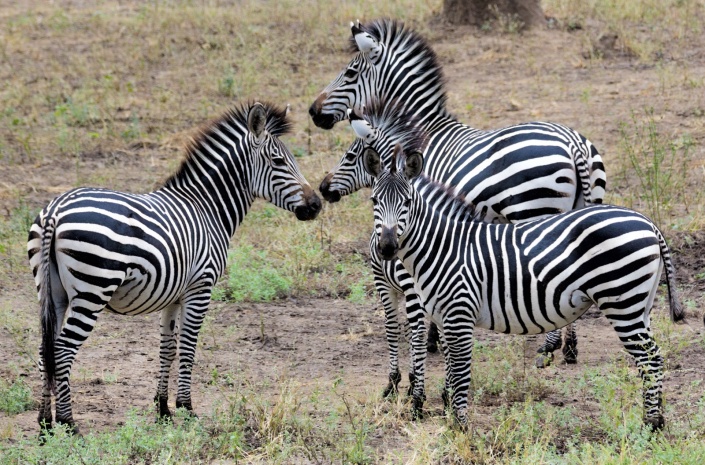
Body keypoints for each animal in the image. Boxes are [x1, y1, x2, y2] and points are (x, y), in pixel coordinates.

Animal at [27, 101, 321, 435]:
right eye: (279, 161)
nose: (317, 205)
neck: (207, 209)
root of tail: (55, 211)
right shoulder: (200, 288)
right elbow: (188, 347)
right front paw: (186, 408)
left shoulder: (173, 294)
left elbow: (167, 347)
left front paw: (163, 409)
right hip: (93, 289)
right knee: (63, 350)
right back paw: (68, 423)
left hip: (52, 291)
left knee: (46, 350)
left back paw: (44, 424)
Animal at [310, 19, 606, 378]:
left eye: (350, 72)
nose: (313, 112)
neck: (421, 134)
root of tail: (574, 144)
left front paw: (432, 341)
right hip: (583, 210)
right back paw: (569, 348)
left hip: (536, 211)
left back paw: (548, 347)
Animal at [362, 142, 683, 430]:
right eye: (374, 202)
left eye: (407, 203)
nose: (387, 248)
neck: (441, 247)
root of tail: (648, 223)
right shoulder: (443, 317)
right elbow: (451, 371)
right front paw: (448, 416)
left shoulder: (459, 314)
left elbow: (461, 373)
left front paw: (459, 428)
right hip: (640, 304)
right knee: (651, 358)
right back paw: (657, 420)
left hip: (622, 301)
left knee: (651, 359)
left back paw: (650, 426)